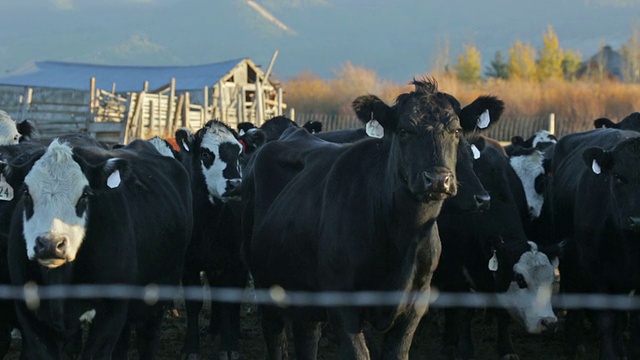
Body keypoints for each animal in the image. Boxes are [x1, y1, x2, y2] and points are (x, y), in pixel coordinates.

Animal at [4, 139, 192, 360]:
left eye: (85, 195)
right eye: (26, 193)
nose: (50, 243)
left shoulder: (110, 314)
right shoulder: (29, 315)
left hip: (156, 299)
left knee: (148, 338)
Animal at [174, 120, 246, 360]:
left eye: (239, 154)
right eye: (205, 154)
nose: (235, 184)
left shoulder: (232, 261)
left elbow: (229, 300)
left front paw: (230, 345)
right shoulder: (188, 265)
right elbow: (193, 304)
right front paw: (190, 347)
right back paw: (214, 329)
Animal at [240, 79, 504, 360]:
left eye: (455, 131)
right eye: (403, 130)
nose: (437, 179)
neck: (401, 239)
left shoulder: (416, 304)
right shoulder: (342, 302)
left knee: (307, 337)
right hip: (265, 283)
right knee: (275, 336)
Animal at [436, 139, 560, 360]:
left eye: (552, 279)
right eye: (520, 279)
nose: (548, 323)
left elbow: (502, 311)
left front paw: (506, 348)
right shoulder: (453, 269)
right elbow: (463, 311)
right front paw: (463, 348)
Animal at [548, 128, 640, 358]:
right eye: (617, 177)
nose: (636, 220)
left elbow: (635, 320)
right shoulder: (596, 269)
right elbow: (606, 318)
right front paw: (608, 354)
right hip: (569, 257)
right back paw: (575, 342)